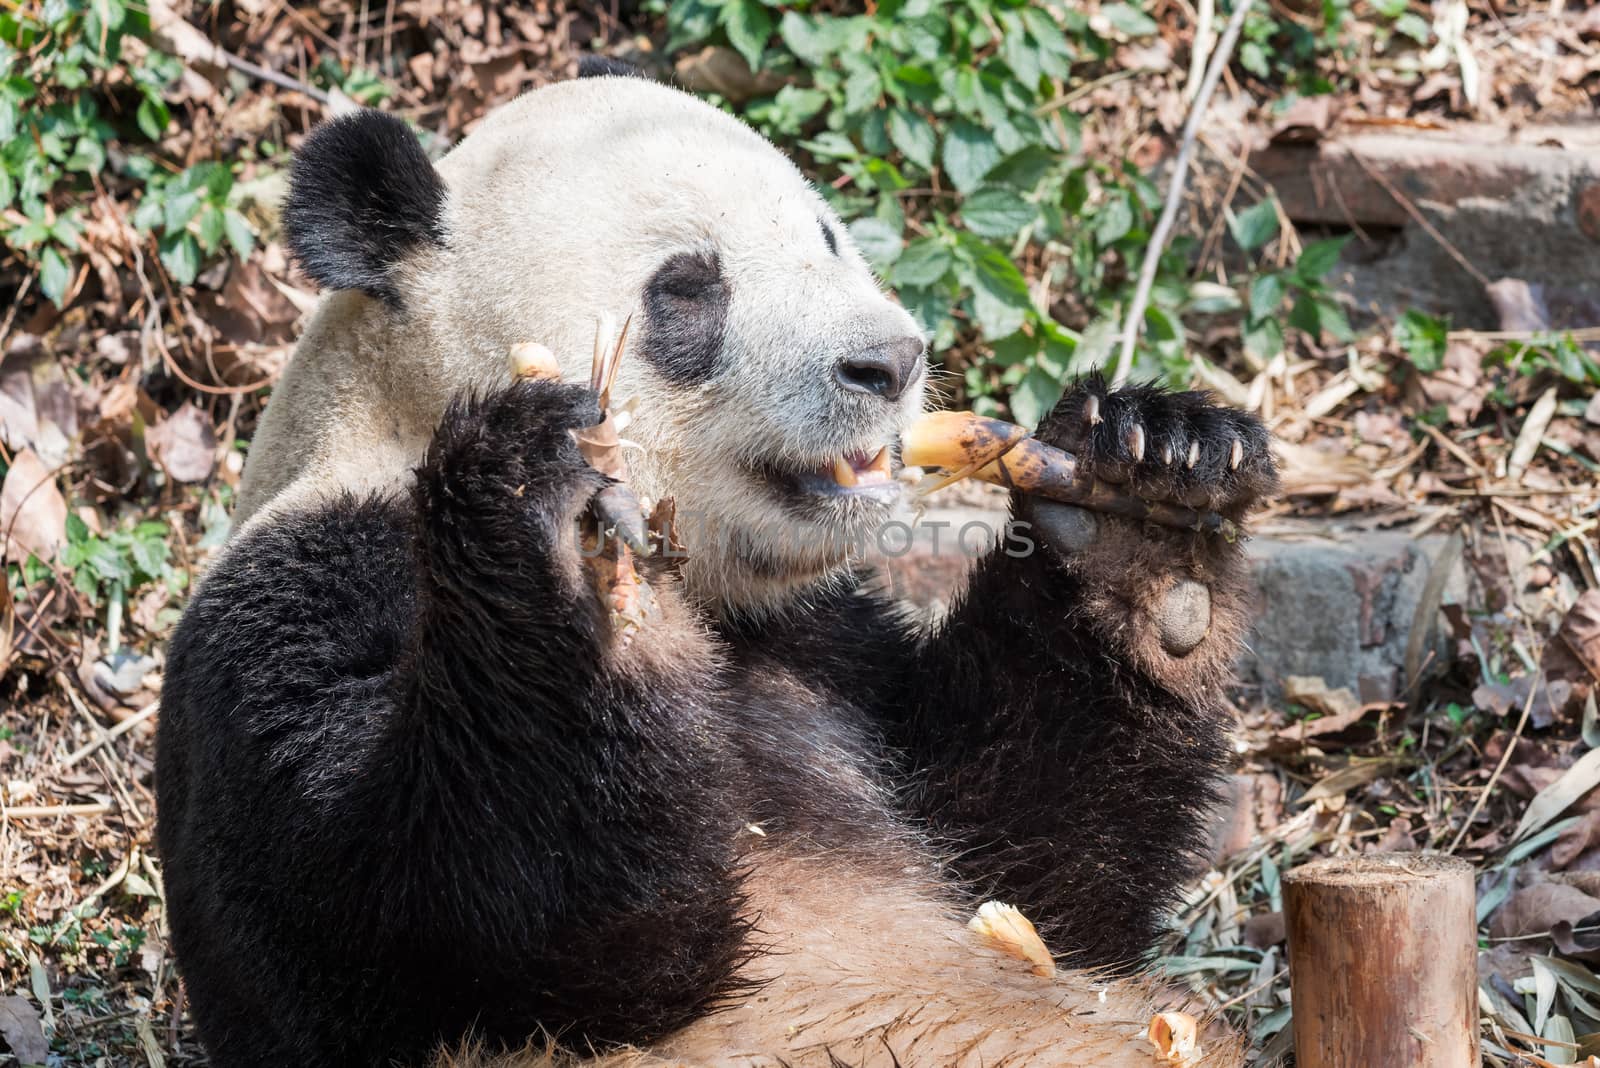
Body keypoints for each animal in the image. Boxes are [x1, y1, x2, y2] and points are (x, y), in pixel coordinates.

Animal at [150, 60, 1273, 1068]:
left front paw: (1145, 503)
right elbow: (448, 929)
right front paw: (561, 549)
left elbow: (1032, 878)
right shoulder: (305, 591)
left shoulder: (820, 642)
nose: (889, 360)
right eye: (688, 287)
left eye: (827, 238)